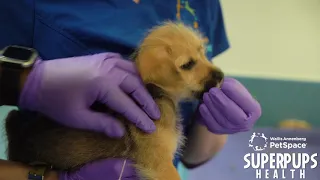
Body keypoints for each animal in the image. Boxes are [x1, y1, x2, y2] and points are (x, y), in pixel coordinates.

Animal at [5, 21, 225, 179]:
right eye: (187, 65)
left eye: (203, 53)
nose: (222, 76)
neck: (156, 93)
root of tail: (19, 134)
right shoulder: (160, 165)